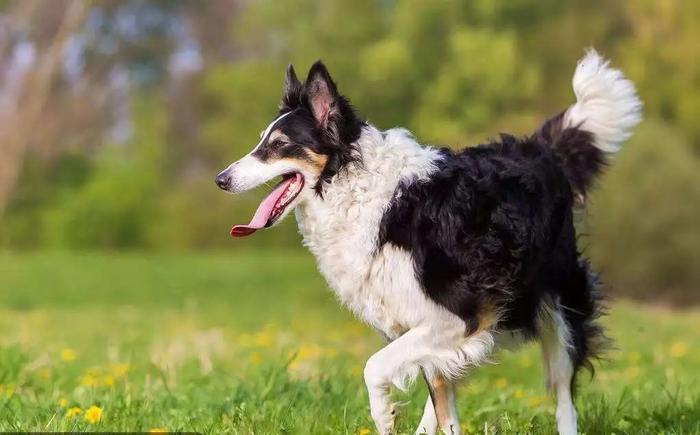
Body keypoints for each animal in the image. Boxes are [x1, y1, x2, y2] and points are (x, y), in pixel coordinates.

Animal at [213, 48, 640, 435]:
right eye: (261, 142)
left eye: (278, 145)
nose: (221, 179)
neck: (358, 190)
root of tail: (541, 150)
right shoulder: (418, 318)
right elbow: (438, 393)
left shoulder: (460, 315)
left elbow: (375, 366)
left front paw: (384, 415)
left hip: (561, 302)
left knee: (563, 388)